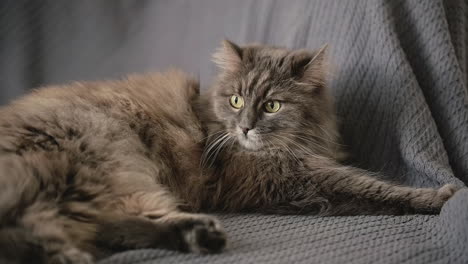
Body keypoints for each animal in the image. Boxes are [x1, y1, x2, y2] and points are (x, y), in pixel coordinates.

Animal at [0, 41, 460, 264]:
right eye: (237, 100)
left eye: (272, 105)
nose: (245, 127)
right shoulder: (289, 177)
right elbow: (372, 188)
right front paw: (440, 196)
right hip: (105, 157)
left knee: (92, 226)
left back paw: (192, 237)